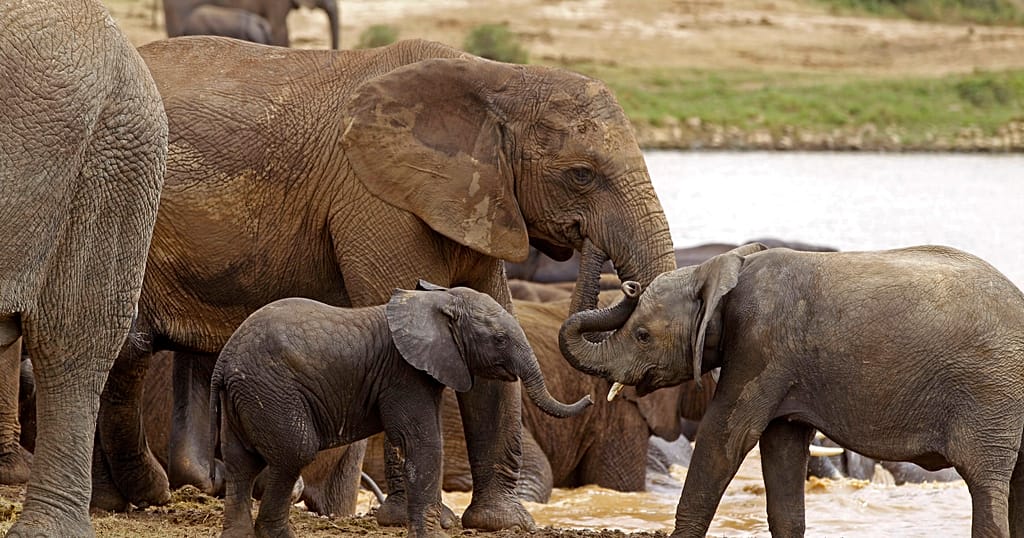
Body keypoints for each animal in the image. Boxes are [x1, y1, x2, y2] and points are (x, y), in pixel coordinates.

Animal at [211, 283, 592, 538]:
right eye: (498, 339)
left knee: (240, 462)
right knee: (295, 452)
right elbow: (422, 441)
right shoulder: (403, 373)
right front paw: (433, 534)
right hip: (272, 391)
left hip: (248, 396)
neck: (435, 301)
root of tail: (224, 362)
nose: (590, 398)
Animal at [560, 244, 1024, 537]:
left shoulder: (760, 346)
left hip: (991, 394)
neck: (722, 268)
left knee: (986, 486)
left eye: (641, 335)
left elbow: (725, 436)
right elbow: (781, 447)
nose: (629, 285)